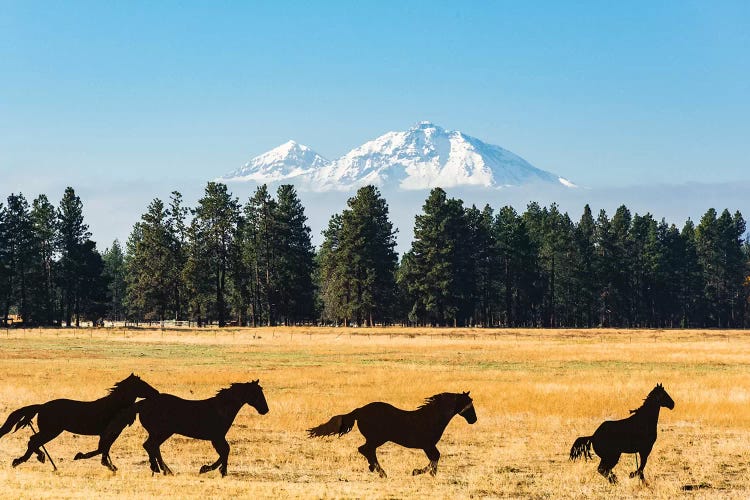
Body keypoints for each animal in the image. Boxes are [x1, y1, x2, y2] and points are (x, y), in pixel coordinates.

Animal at [0, 376, 159, 472]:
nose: (156, 392)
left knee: (33, 441)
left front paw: (109, 466)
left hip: (50, 431)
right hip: (52, 431)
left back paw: (36, 459)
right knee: (33, 441)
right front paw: (81, 456)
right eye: (143, 385)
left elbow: (104, 449)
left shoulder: (109, 433)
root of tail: (42, 406)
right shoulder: (109, 432)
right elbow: (102, 448)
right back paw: (25, 460)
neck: (114, 407)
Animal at [92, 378, 270, 476]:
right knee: (151, 446)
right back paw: (164, 470)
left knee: (151, 446)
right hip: (162, 432)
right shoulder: (216, 437)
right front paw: (210, 469)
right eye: (257, 393)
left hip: (161, 432)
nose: (265, 410)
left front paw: (217, 470)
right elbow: (225, 451)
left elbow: (225, 452)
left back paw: (159, 469)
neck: (221, 409)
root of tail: (143, 403)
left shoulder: (217, 438)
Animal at [306, 390, 476, 476]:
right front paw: (419, 472)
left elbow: (435, 458)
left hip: (376, 439)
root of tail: (359, 410)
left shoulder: (428, 446)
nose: (474, 419)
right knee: (365, 449)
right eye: (469, 404)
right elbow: (435, 457)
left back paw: (375, 469)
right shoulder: (427, 445)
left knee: (366, 450)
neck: (431, 418)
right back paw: (381, 472)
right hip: (377, 438)